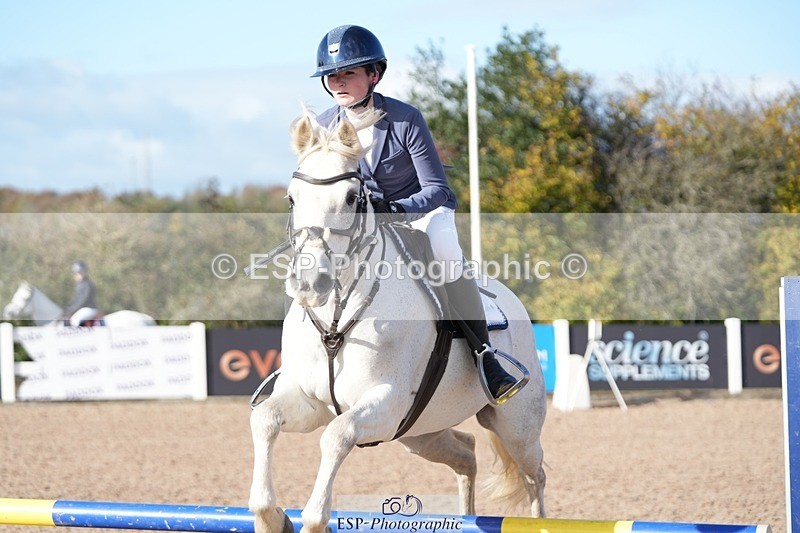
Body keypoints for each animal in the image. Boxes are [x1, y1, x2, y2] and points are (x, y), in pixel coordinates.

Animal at [248, 109, 547, 533]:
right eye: (292, 198)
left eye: (352, 198)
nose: (309, 284)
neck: (336, 319)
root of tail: (509, 297)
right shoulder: (309, 400)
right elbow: (266, 420)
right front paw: (272, 517)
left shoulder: (384, 403)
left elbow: (336, 437)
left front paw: (310, 518)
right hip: (421, 431)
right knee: (467, 454)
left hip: (516, 426)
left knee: (534, 475)